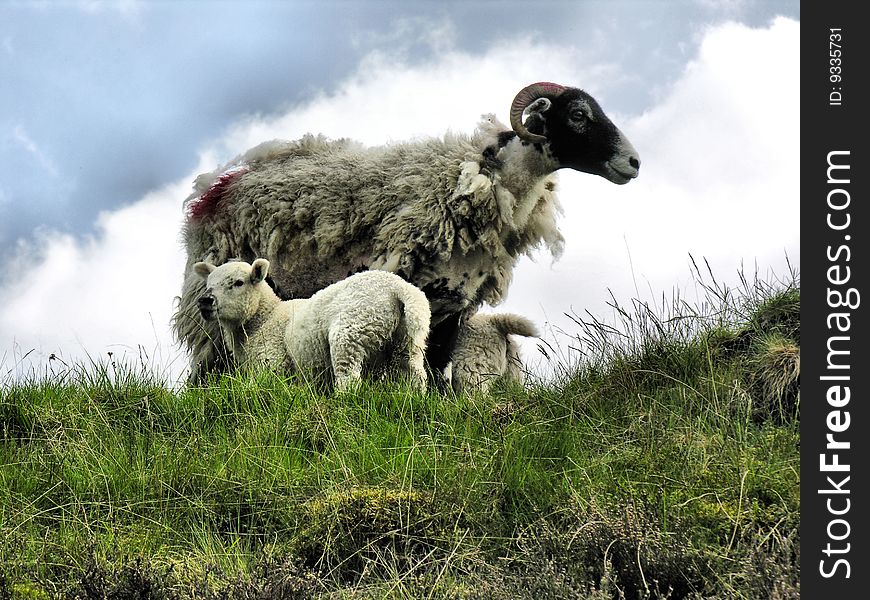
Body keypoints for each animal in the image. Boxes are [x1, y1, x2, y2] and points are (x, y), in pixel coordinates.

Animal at [194, 258, 432, 392]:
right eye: (208, 284)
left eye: (238, 283)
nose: (205, 300)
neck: (263, 318)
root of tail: (400, 288)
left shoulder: (272, 363)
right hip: (406, 339)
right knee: (414, 375)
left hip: (354, 330)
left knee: (348, 378)